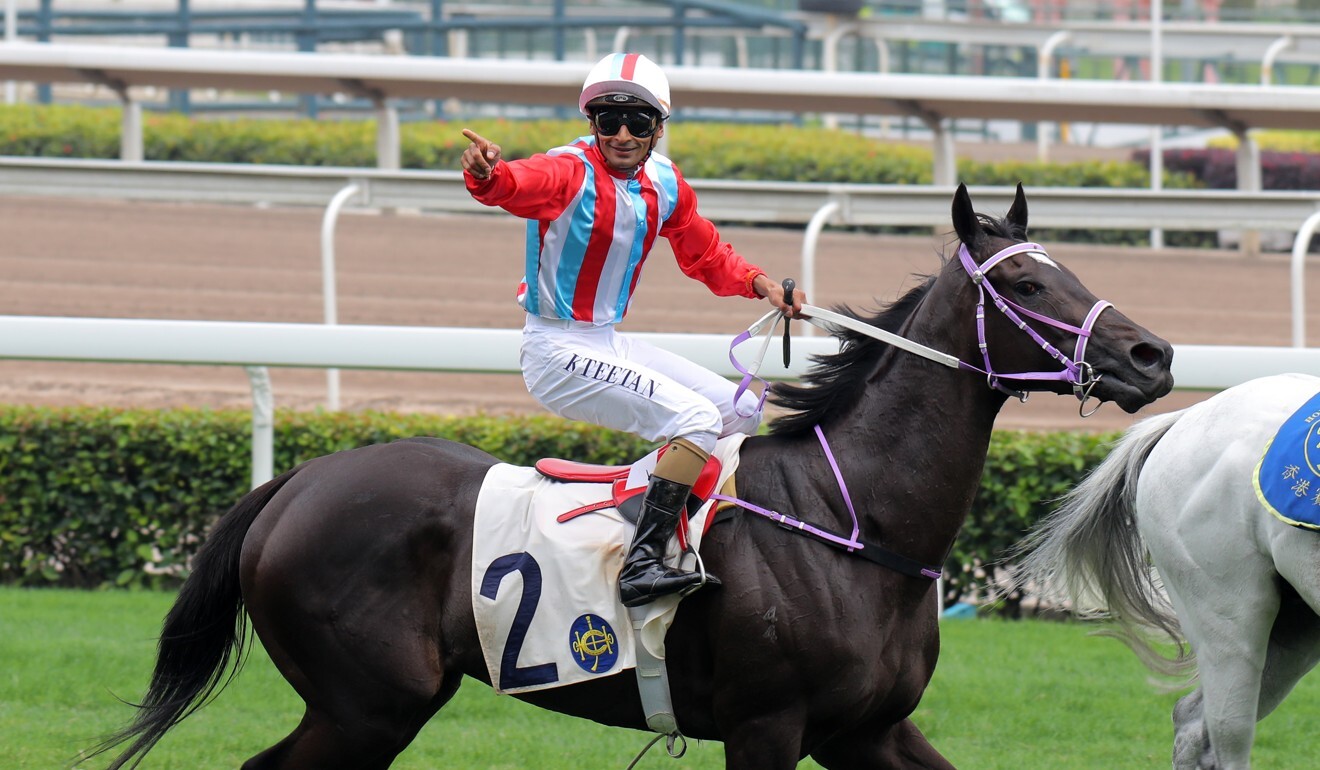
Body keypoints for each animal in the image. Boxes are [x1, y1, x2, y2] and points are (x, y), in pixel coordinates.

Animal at [95, 186, 1177, 770]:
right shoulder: (767, 723)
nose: (1153, 353)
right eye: (1028, 283)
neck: (857, 522)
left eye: (1072, 266)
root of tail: (296, 484)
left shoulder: (867, 726)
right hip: (368, 701)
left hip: (369, 704)